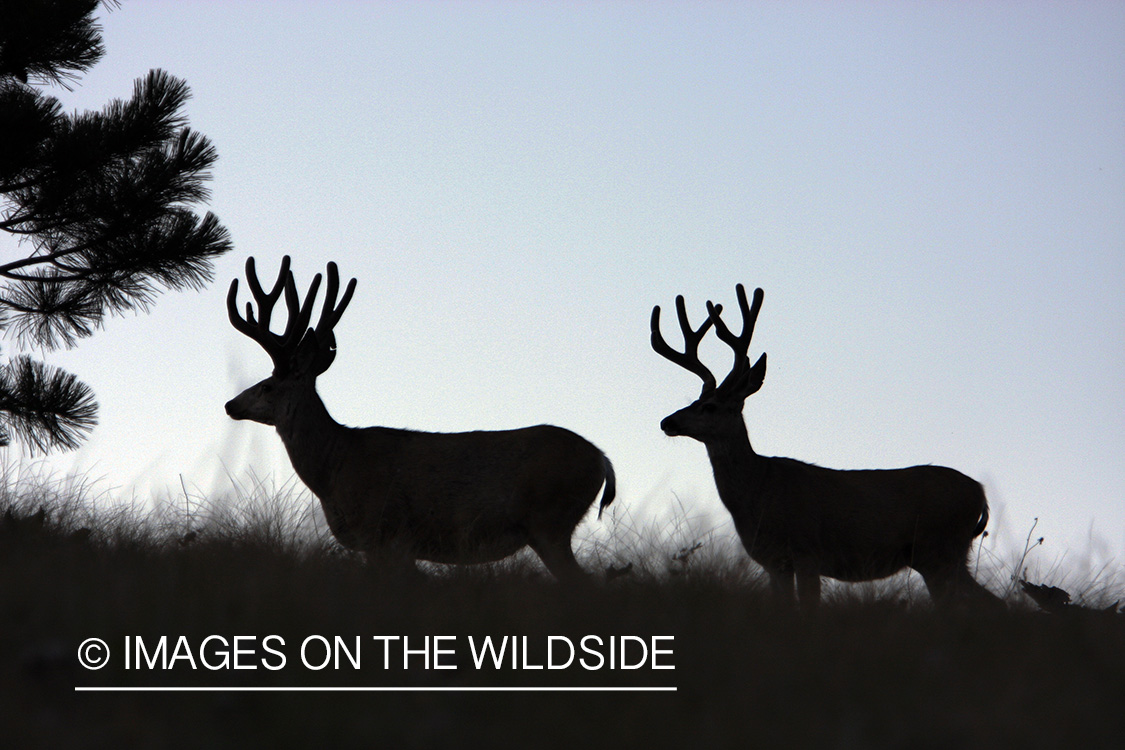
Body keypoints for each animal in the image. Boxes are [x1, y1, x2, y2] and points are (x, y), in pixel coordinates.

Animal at [224, 256, 615, 582]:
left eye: (267, 386)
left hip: (550, 521)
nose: (230, 404)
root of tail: (602, 460)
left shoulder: (385, 533)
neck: (334, 468)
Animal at [651, 283, 998, 608]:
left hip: (938, 549)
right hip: (939, 555)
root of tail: (980, 494)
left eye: (710, 406)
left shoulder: (807, 551)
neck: (759, 490)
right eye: (693, 400)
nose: (667, 421)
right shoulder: (774, 563)